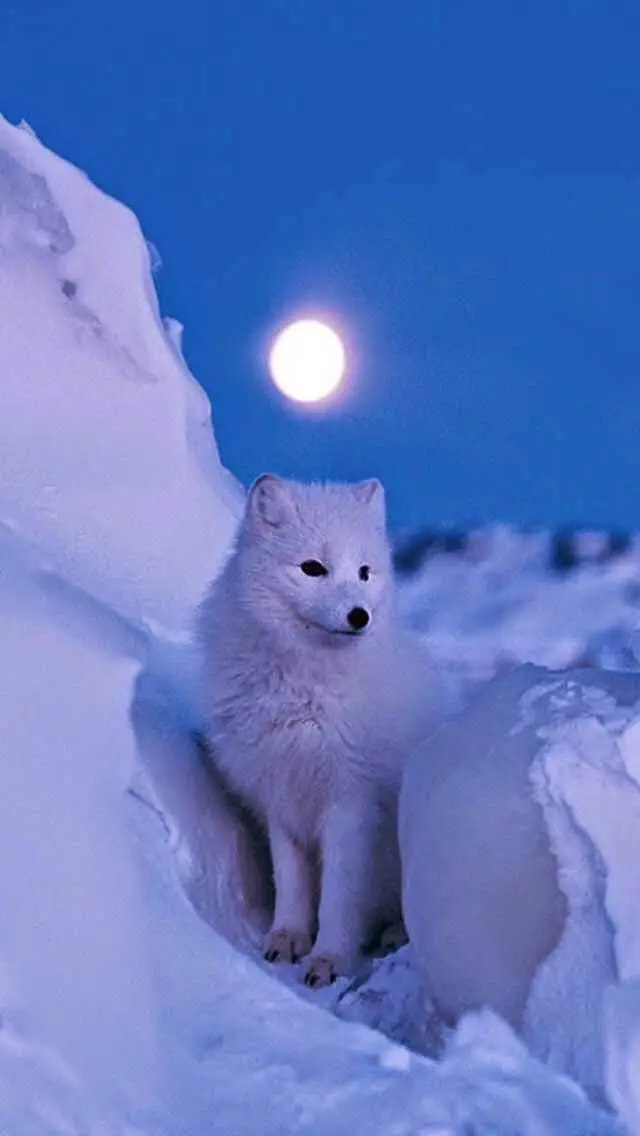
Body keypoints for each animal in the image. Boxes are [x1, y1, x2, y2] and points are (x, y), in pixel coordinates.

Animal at [197, 474, 444, 988]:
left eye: (365, 572)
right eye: (313, 568)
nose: (359, 615)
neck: (303, 695)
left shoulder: (350, 802)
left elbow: (338, 897)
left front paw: (329, 957)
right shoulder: (280, 796)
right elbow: (291, 881)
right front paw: (286, 939)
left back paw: (392, 933)